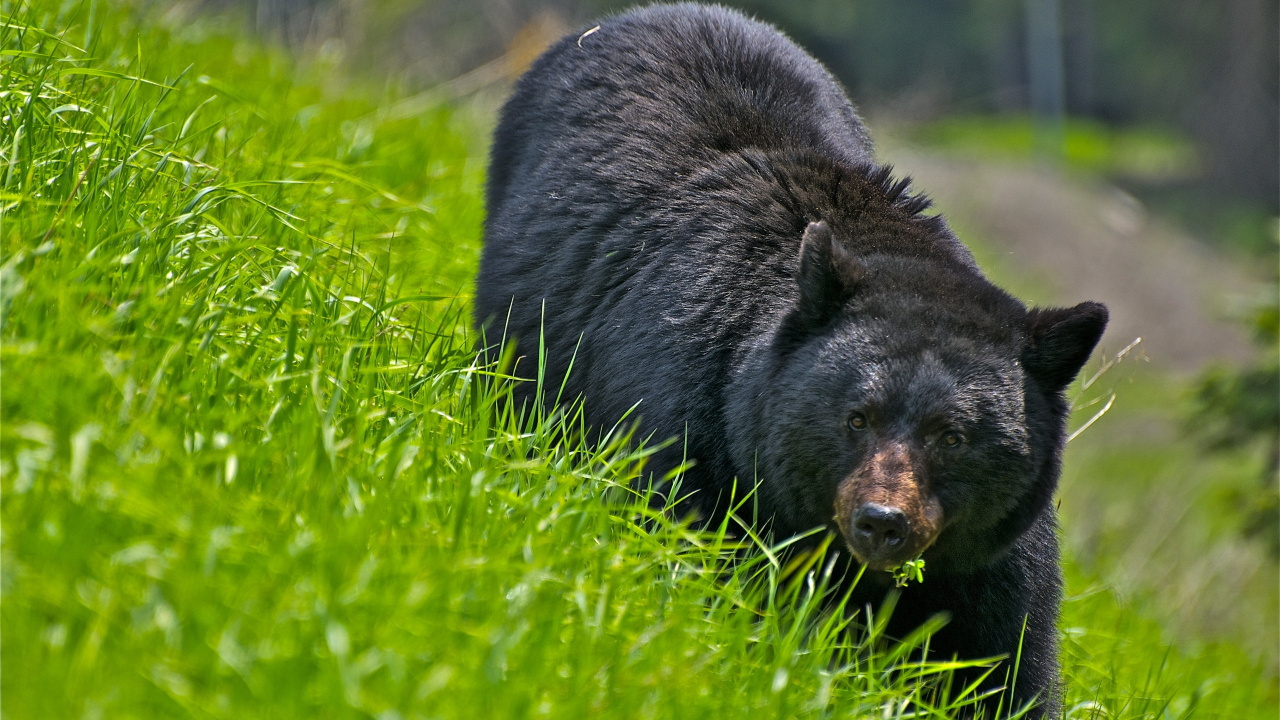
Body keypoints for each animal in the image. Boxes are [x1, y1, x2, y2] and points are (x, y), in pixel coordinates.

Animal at [475, 4, 1108, 717]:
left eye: (954, 436)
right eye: (856, 417)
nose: (882, 523)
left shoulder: (990, 562)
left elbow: (1004, 664)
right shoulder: (692, 433)